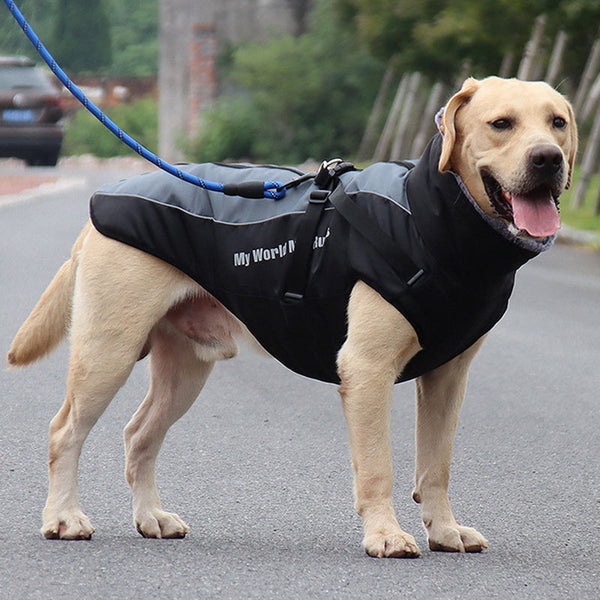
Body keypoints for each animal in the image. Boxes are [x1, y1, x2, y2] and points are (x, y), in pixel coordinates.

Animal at [4, 78, 576, 556]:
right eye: (501, 123)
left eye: (557, 122)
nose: (548, 159)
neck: (432, 218)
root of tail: (104, 200)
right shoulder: (367, 370)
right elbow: (379, 467)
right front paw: (386, 535)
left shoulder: (447, 377)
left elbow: (436, 466)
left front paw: (445, 530)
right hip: (108, 351)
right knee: (64, 431)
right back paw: (64, 518)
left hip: (185, 369)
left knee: (138, 435)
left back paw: (151, 518)